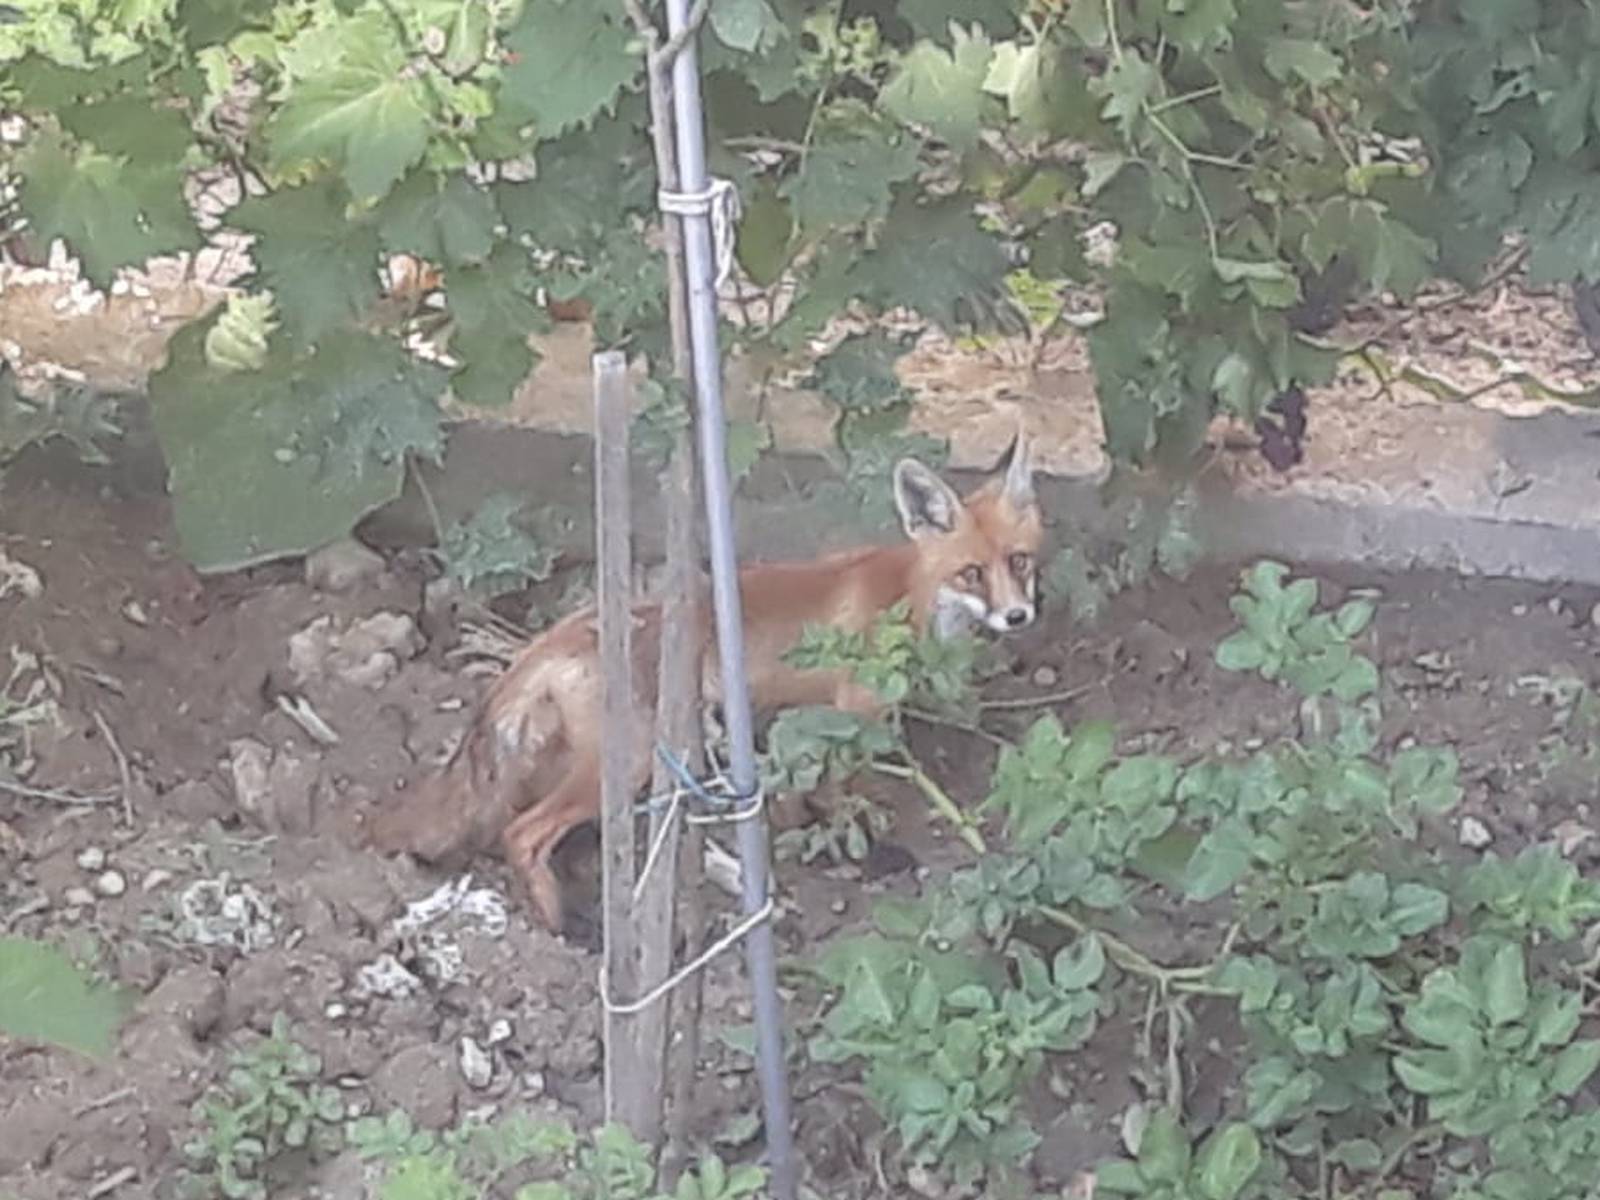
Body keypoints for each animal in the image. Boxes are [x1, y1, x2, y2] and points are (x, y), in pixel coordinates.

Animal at [372, 428, 1049, 940]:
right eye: (971, 572)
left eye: (1019, 562)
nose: (1019, 617)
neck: (911, 597)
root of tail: (549, 637)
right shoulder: (853, 710)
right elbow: (844, 794)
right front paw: (866, 849)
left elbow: (807, 792)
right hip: (628, 759)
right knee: (523, 832)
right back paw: (566, 930)